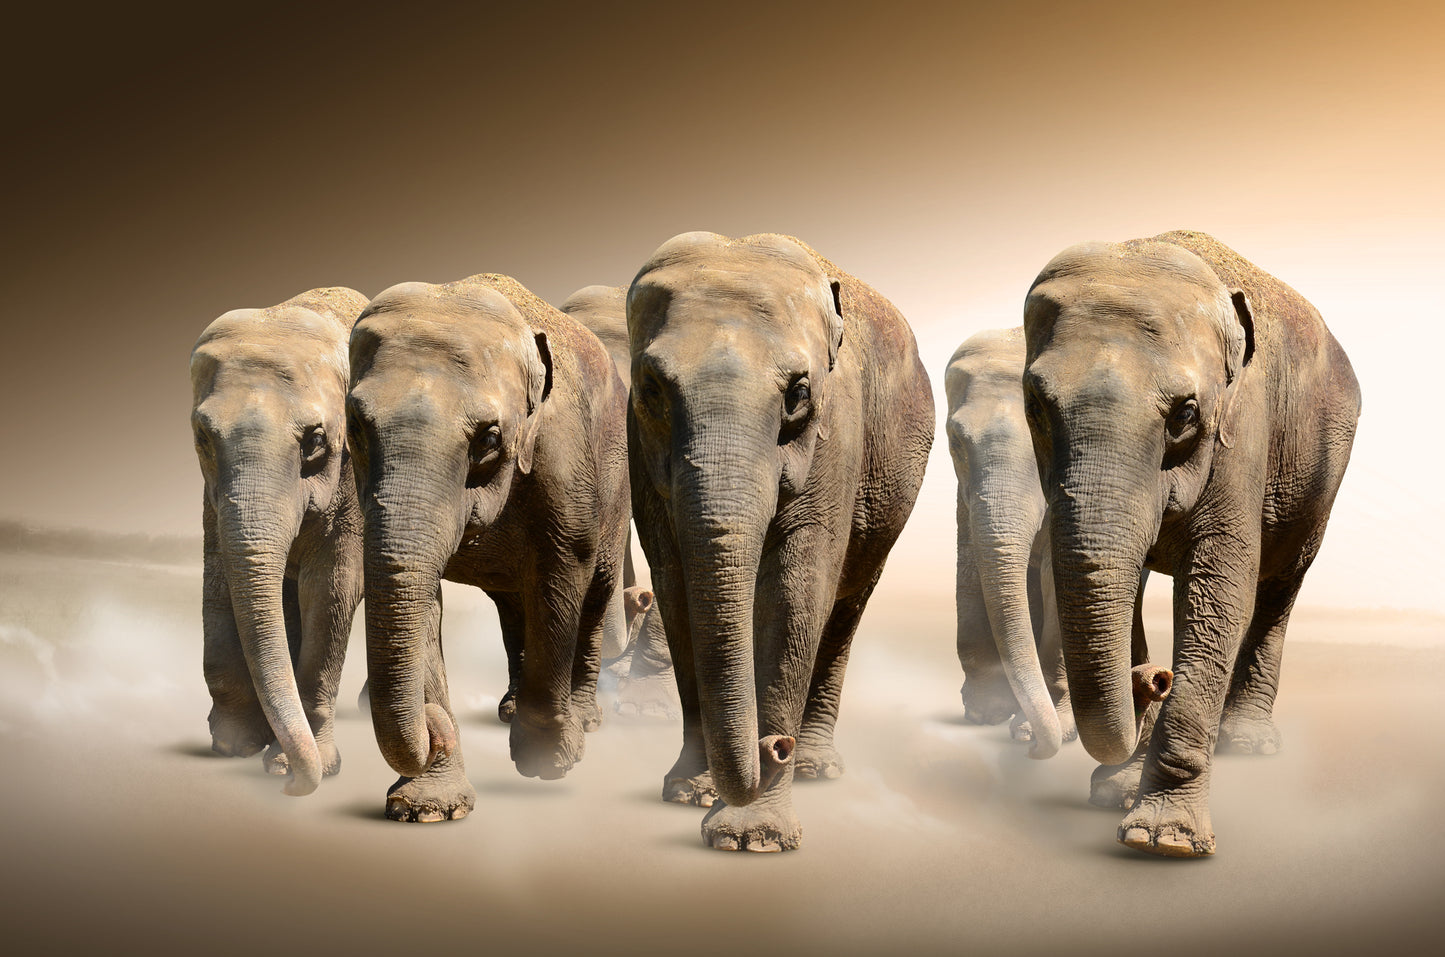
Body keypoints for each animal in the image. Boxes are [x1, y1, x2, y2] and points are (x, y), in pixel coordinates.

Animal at [188, 286, 369, 796]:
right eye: (202, 436)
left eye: (315, 440)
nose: (289, 789)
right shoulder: (211, 497)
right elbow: (219, 579)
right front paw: (234, 745)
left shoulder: (352, 478)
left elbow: (332, 589)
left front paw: (299, 767)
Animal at [347, 273, 630, 822]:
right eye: (355, 426)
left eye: (490, 438)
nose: (433, 725)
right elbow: (419, 596)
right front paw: (427, 809)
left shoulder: (563, 452)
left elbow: (563, 569)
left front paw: (549, 761)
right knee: (512, 603)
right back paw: (509, 709)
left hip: (619, 479)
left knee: (596, 590)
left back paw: (584, 719)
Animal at [627, 231, 934, 851]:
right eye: (651, 389)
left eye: (798, 392)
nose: (775, 748)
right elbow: (674, 588)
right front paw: (691, 794)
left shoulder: (837, 432)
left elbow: (796, 594)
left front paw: (752, 838)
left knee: (845, 606)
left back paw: (816, 766)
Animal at [945, 327, 1074, 758]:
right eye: (955, 441)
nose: (1031, 750)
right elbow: (970, 562)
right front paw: (986, 713)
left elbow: (1059, 576)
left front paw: (1041, 730)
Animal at [1021, 230, 1361, 857]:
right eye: (1034, 405)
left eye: (1185, 413)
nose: (1155, 677)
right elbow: (1114, 587)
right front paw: (1115, 793)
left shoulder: (1244, 429)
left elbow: (1220, 589)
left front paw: (1163, 840)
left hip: (1323, 473)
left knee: (1279, 586)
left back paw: (1247, 743)